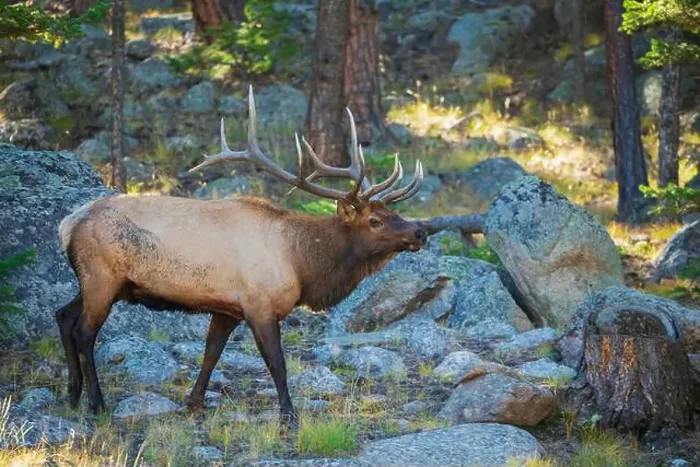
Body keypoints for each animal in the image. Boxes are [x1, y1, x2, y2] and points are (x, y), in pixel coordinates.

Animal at [55, 86, 426, 428]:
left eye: (393, 212)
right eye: (374, 220)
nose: (420, 232)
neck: (301, 263)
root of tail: (70, 222)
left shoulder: (227, 308)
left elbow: (211, 354)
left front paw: (195, 403)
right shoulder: (259, 304)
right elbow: (277, 363)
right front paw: (289, 416)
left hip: (98, 282)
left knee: (63, 316)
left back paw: (72, 395)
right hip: (103, 278)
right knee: (85, 332)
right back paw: (96, 403)